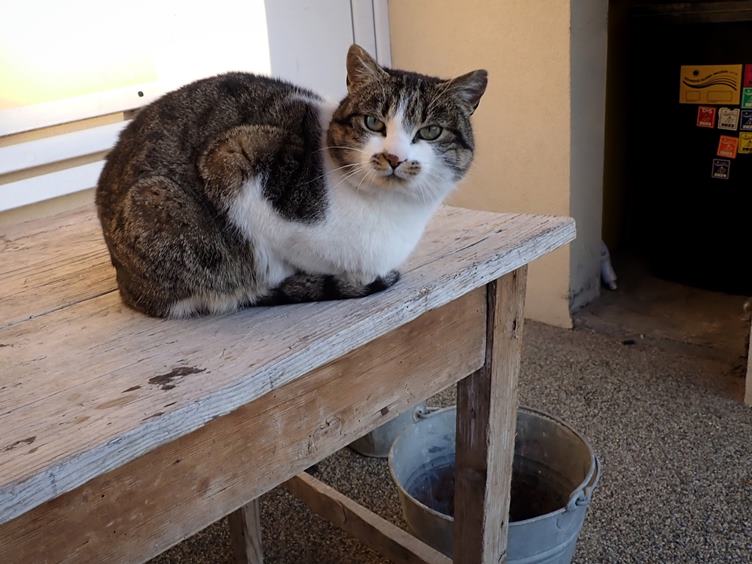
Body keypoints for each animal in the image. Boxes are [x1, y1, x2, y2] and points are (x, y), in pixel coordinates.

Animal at [96, 44, 487, 317]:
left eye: (430, 131)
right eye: (374, 123)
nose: (394, 157)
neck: (388, 212)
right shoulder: (233, 155)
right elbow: (274, 248)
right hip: (156, 199)